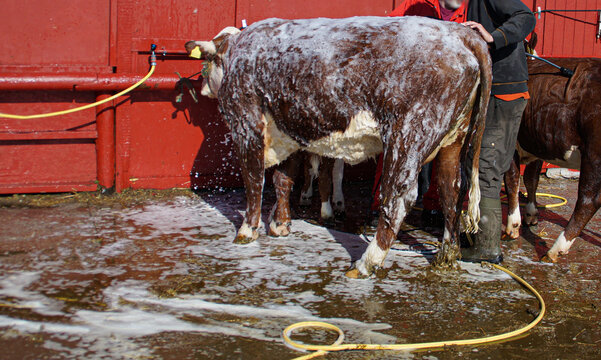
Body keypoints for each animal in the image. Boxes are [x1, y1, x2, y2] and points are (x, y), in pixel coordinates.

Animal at [188, 15, 492, 278]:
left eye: (208, 62)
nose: (202, 87)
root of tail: (460, 34)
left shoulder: (247, 124)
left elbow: (253, 181)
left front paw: (247, 231)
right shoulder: (290, 129)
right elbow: (283, 179)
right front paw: (279, 224)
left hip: (410, 134)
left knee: (398, 196)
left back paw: (366, 263)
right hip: (453, 139)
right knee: (450, 190)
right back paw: (446, 255)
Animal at [502, 57, 600, 262]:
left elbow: (512, 180)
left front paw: (513, 225)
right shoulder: (537, 145)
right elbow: (531, 179)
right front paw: (531, 214)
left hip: (593, 157)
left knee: (588, 201)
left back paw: (556, 249)